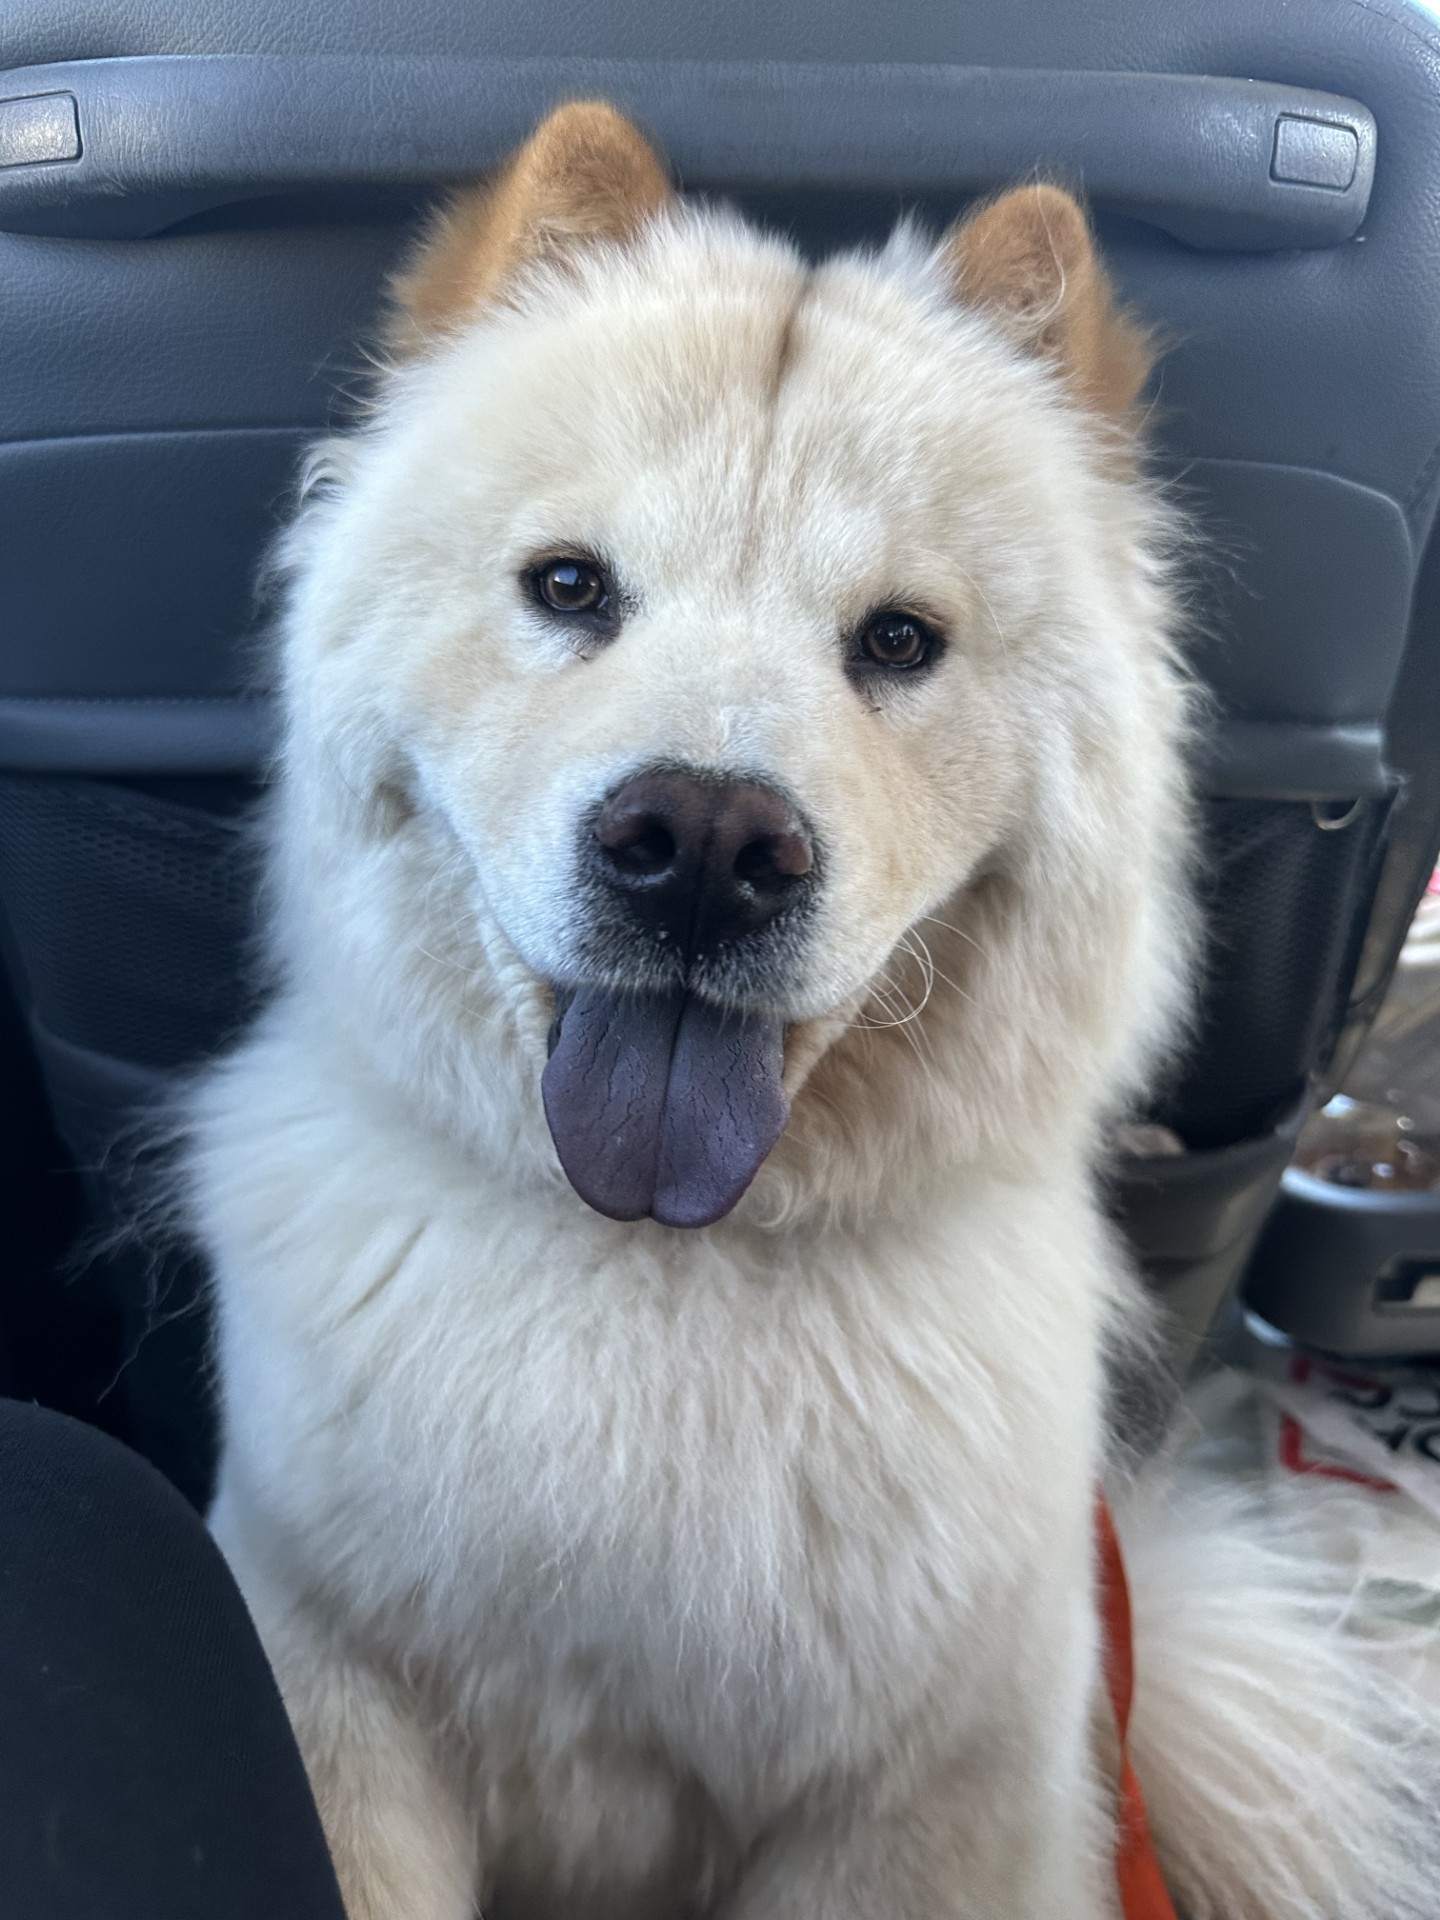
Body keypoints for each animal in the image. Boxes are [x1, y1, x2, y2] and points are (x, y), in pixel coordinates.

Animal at [185, 103, 1440, 1919]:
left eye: (900, 640)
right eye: (571, 588)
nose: (706, 847)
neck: (667, 1276)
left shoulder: (910, 1805)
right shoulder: (336, 1687)